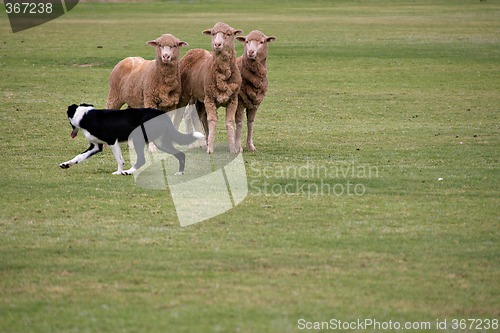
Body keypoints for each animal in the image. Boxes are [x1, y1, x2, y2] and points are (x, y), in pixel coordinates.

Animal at [59, 104, 204, 175]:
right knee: (181, 154)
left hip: (138, 138)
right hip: (160, 143)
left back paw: (129, 172)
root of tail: (160, 113)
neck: (86, 116)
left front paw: (119, 172)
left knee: (142, 160)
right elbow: (79, 157)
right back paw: (180, 172)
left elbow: (119, 160)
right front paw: (66, 164)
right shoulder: (96, 146)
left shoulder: (112, 141)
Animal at [179, 22, 243, 154]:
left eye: (229, 34)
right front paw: (210, 149)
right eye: (213, 33)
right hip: (185, 95)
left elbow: (229, 122)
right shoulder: (209, 98)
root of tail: (193, 50)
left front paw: (233, 148)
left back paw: (203, 143)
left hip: (198, 99)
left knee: (195, 117)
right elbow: (212, 120)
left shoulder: (233, 99)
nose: (217, 44)